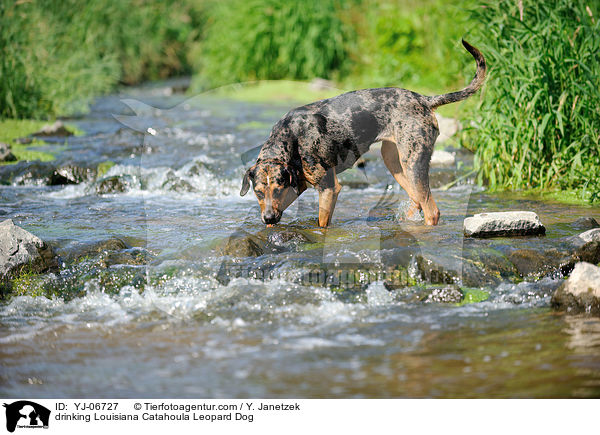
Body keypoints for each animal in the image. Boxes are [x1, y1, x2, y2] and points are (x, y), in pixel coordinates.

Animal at [237, 39, 486, 228]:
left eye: (278, 190)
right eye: (258, 193)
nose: (268, 217)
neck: (291, 140)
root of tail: (424, 99)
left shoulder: (328, 188)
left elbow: (322, 223)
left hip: (413, 162)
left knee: (431, 210)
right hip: (394, 161)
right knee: (416, 200)